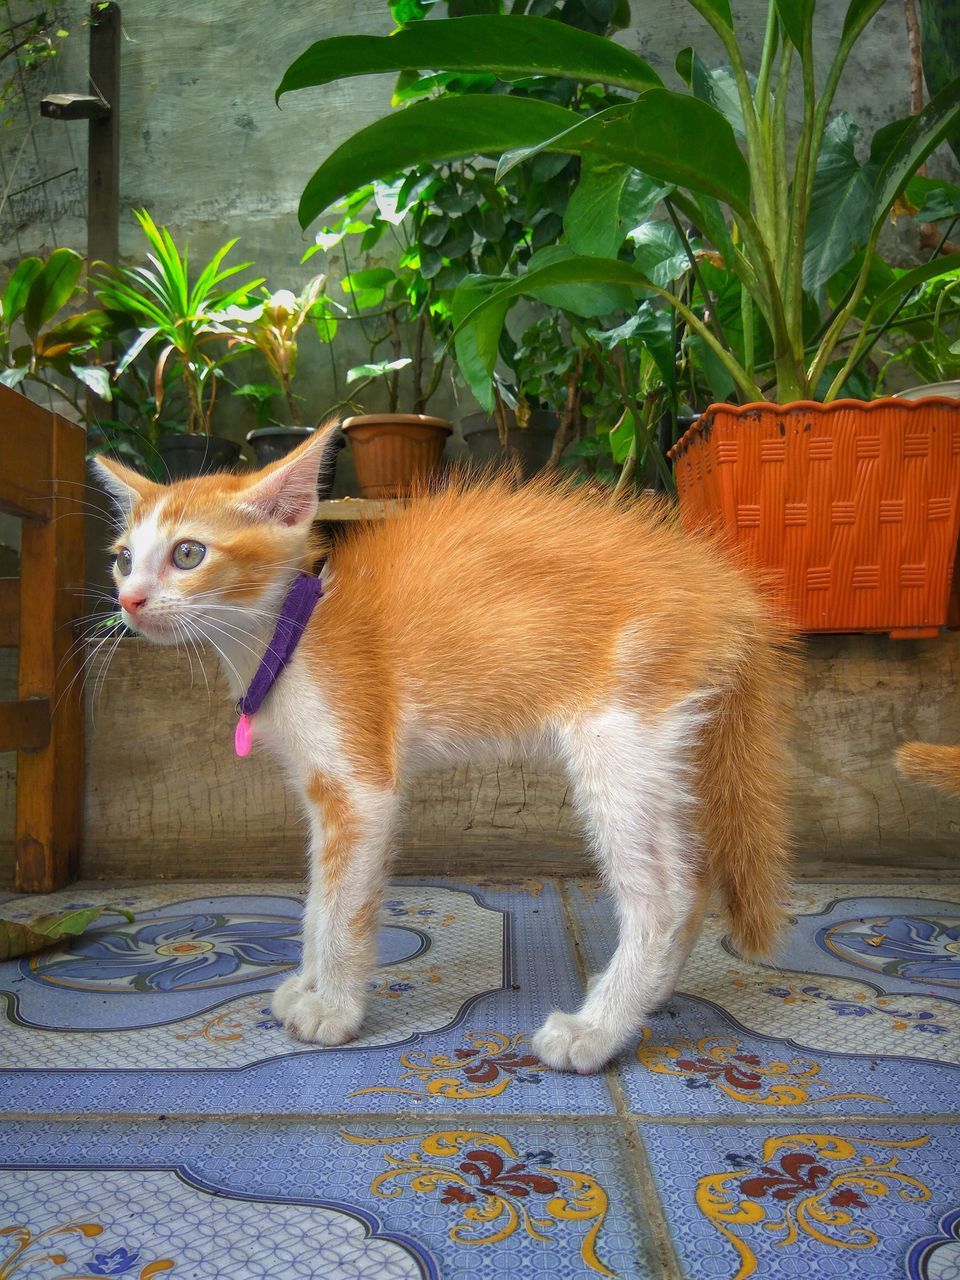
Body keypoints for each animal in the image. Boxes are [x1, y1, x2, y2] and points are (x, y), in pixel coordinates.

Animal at [94, 419, 793, 1070]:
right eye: (124, 558)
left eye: (188, 553)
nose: (130, 599)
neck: (291, 633)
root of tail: (729, 594)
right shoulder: (322, 792)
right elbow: (319, 896)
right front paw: (309, 984)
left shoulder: (360, 785)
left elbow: (344, 908)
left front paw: (334, 1008)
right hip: (659, 746)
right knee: (694, 876)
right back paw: (644, 1001)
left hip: (618, 735)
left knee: (664, 896)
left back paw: (597, 1030)